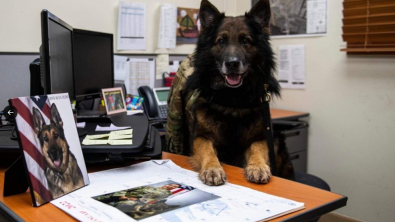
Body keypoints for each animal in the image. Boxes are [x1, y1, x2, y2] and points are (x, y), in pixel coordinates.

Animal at [186, 0, 282, 186]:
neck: (233, 97)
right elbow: (208, 151)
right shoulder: (201, 137)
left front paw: (258, 166)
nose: (232, 64)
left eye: (245, 41)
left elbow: (258, 150)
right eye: (221, 41)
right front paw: (212, 168)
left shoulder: (261, 137)